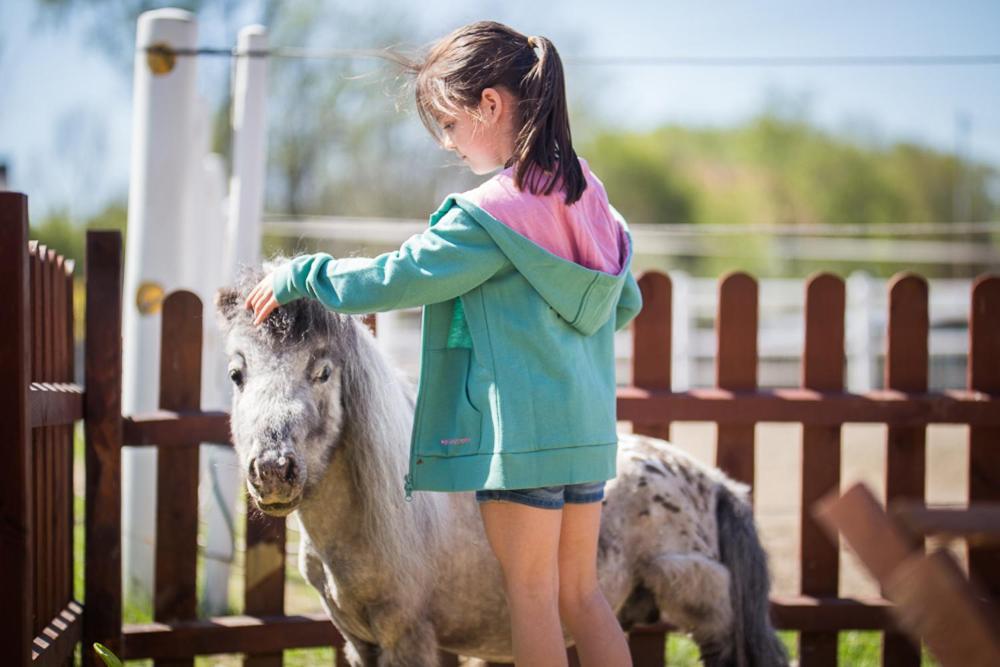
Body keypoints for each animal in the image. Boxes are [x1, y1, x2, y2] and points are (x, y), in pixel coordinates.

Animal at [213, 258, 788, 667]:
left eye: (323, 371)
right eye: (237, 374)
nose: (273, 470)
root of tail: (710, 480)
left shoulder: (408, 638)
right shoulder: (362, 644)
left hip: (708, 612)